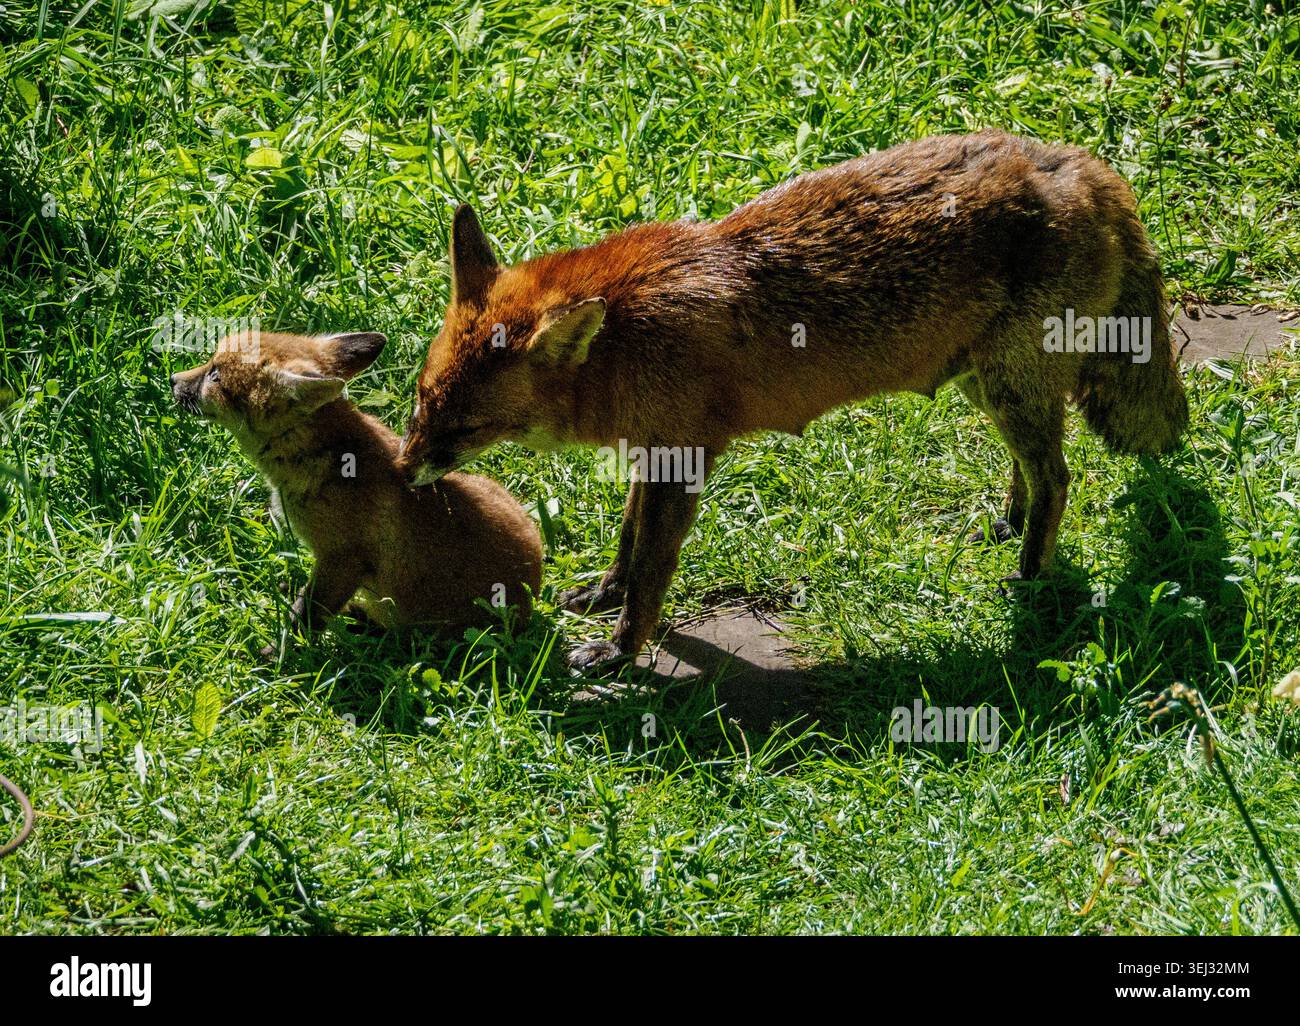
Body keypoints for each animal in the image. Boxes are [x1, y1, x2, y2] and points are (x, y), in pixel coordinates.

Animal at [170, 330, 542, 652]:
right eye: (210, 363)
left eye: (215, 376)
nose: (173, 379)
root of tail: (533, 593)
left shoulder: (342, 559)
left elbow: (307, 616)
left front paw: (280, 656)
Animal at [395, 130, 1189, 672]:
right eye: (420, 402)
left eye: (465, 425)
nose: (401, 471)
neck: (625, 338)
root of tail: (1088, 165)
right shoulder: (653, 448)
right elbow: (627, 542)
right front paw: (605, 595)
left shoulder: (684, 459)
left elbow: (652, 568)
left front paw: (621, 651)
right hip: (986, 384)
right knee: (1033, 469)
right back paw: (1010, 524)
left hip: (1009, 387)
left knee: (1059, 477)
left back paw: (1028, 578)